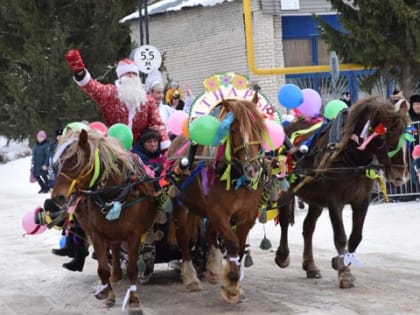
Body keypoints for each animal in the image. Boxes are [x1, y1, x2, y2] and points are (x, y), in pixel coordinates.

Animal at [44, 130, 158, 312]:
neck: (115, 196)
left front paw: (133, 300)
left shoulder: (133, 236)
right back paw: (108, 284)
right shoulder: (97, 234)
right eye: (60, 162)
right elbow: (103, 268)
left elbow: (132, 269)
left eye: (76, 161)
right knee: (112, 256)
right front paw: (110, 296)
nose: (58, 197)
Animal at [167, 98, 268, 304]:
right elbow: (232, 243)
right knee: (184, 238)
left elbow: (239, 246)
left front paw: (233, 282)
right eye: (234, 130)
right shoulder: (218, 211)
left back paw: (213, 268)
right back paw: (190, 277)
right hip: (180, 204)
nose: (252, 169)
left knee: (209, 235)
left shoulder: (247, 215)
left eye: (258, 128)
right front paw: (231, 285)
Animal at [276, 97, 410, 290]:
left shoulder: (362, 200)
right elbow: (340, 237)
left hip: (316, 199)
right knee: (285, 221)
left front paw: (340, 262)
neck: (350, 157)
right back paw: (282, 255)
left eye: (407, 138)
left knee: (308, 227)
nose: (402, 177)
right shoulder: (334, 201)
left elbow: (355, 237)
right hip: (285, 188)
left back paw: (310, 265)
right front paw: (345, 274)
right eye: (384, 138)